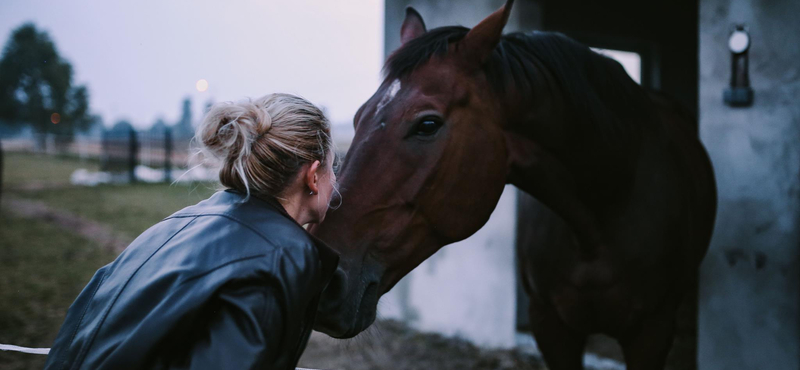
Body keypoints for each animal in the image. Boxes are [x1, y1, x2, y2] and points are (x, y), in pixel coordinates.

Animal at [310, 1, 716, 368]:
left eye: (427, 124)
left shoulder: (652, 332)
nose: (326, 278)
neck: (607, 206)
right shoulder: (550, 326)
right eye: (359, 117)